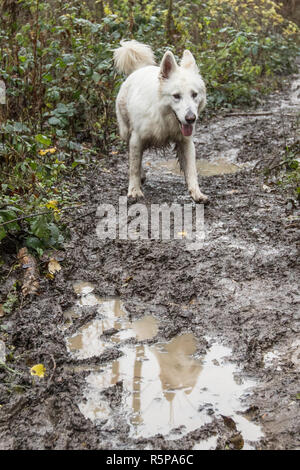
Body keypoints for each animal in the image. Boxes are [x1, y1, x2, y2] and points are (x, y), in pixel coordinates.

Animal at [113, 40, 207, 202]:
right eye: (176, 96)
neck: (164, 117)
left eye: (194, 94)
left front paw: (196, 193)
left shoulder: (185, 142)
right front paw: (134, 190)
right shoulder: (137, 138)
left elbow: (191, 170)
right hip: (126, 132)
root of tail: (140, 69)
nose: (191, 118)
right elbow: (134, 167)